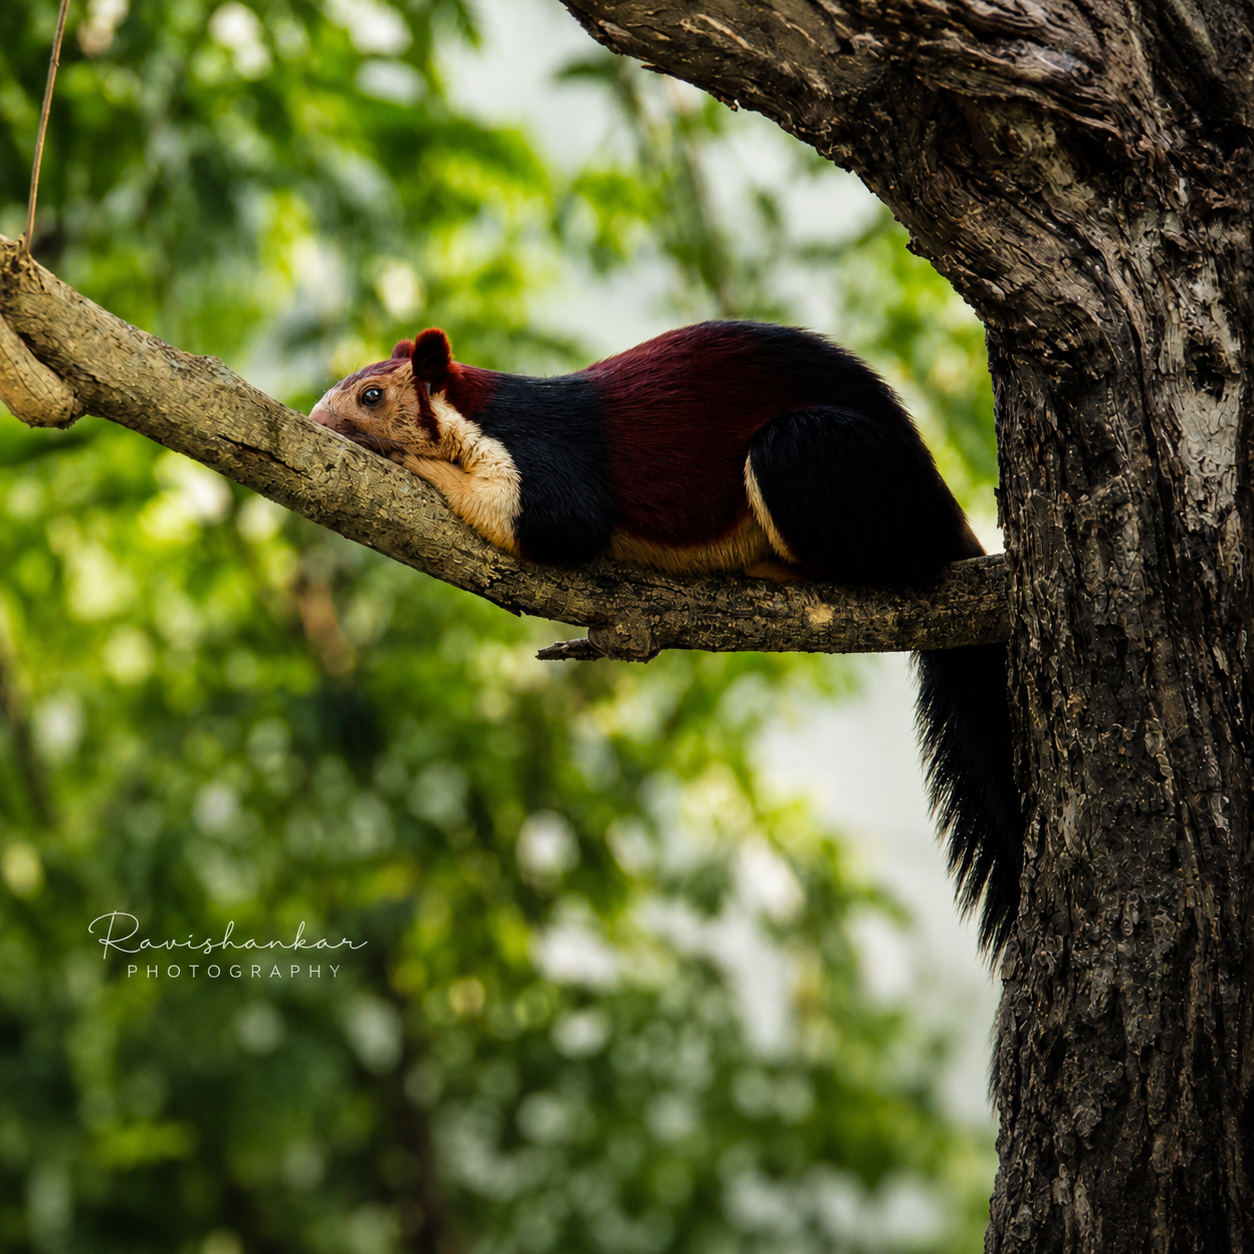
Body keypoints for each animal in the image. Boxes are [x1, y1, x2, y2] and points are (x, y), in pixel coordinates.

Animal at [310, 320, 1022, 951]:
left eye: (372, 395)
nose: (316, 420)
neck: (476, 415)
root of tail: (946, 518)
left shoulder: (548, 467)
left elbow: (553, 521)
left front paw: (410, 460)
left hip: (808, 456)